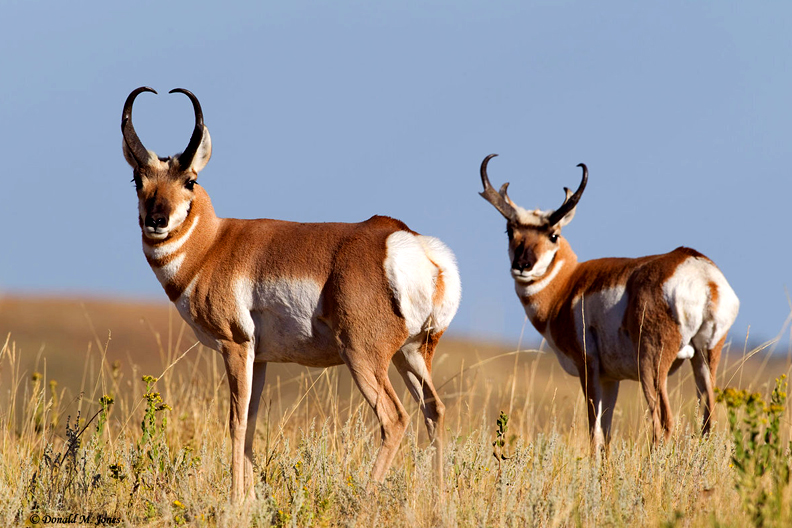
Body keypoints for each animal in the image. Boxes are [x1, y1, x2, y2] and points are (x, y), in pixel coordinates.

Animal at [120, 86, 460, 500]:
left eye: (190, 180)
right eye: (138, 180)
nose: (157, 220)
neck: (214, 245)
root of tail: (405, 241)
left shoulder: (235, 346)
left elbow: (235, 422)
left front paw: (234, 501)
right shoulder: (261, 358)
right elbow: (251, 423)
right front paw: (251, 500)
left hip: (363, 356)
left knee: (395, 419)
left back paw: (363, 499)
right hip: (411, 354)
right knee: (434, 410)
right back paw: (439, 500)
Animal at [476, 155, 744, 452]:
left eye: (554, 235)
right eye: (510, 231)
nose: (522, 266)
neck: (568, 284)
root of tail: (702, 274)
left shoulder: (588, 368)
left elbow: (594, 431)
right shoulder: (610, 379)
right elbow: (606, 434)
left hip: (652, 365)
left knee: (663, 421)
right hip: (706, 358)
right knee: (709, 421)